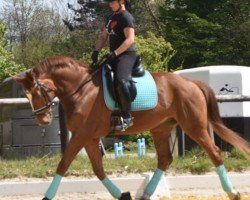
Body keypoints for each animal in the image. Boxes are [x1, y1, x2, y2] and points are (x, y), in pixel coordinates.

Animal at [13, 56, 250, 200]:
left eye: (36, 93)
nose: (42, 121)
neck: (81, 90)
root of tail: (192, 83)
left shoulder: (81, 135)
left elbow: (63, 165)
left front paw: (46, 196)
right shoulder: (89, 138)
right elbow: (98, 170)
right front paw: (122, 194)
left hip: (194, 126)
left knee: (215, 153)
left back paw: (233, 192)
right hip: (161, 128)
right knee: (165, 159)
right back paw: (145, 194)